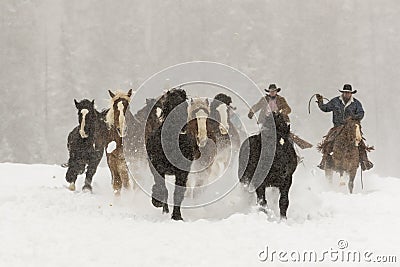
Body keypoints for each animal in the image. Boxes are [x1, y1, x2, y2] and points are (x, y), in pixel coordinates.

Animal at [145, 89, 202, 221]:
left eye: (183, 105)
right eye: (169, 105)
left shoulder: (182, 172)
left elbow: (178, 193)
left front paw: (177, 216)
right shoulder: (157, 167)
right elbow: (161, 187)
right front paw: (157, 201)